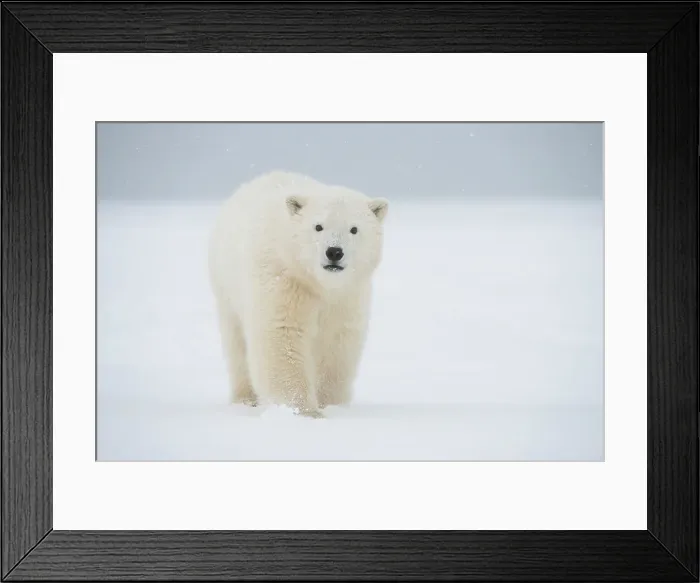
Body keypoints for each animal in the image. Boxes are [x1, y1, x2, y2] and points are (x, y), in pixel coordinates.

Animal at [208, 170, 389, 418]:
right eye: (318, 226)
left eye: (354, 229)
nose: (334, 252)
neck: (317, 282)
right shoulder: (283, 280)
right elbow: (282, 334)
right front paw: (304, 411)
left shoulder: (347, 295)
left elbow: (336, 343)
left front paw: (329, 405)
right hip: (227, 287)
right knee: (236, 344)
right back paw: (245, 399)